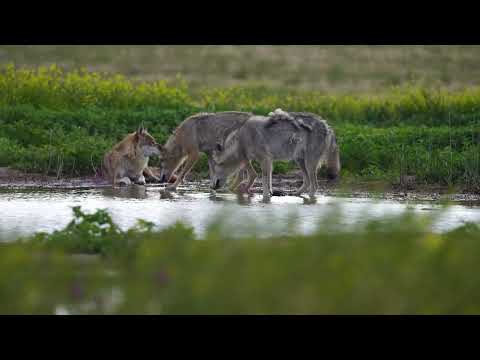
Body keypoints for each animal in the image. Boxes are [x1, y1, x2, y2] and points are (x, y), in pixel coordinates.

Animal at [211, 109, 342, 198]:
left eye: (212, 170)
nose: (211, 187)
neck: (242, 140)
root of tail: (327, 126)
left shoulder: (264, 160)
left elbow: (264, 184)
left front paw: (264, 199)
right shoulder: (268, 162)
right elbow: (268, 183)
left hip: (309, 164)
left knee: (314, 187)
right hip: (300, 161)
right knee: (307, 182)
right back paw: (295, 194)